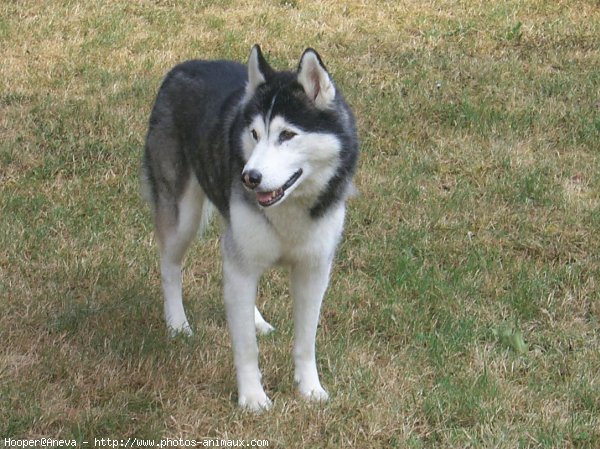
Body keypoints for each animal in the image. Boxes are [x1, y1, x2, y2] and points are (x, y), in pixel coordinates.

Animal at [143, 44, 358, 410]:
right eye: (255, 134)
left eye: (287, 135)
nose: (249, 177)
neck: (290, 207)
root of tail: (183, 67)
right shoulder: (242, 263)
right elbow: (245, 348)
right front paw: (253, 398)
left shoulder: (314, 268)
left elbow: (306, 341)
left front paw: (310, 389)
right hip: (182, 216)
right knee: (170, 266)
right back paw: (177, 324)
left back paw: (255, 318)